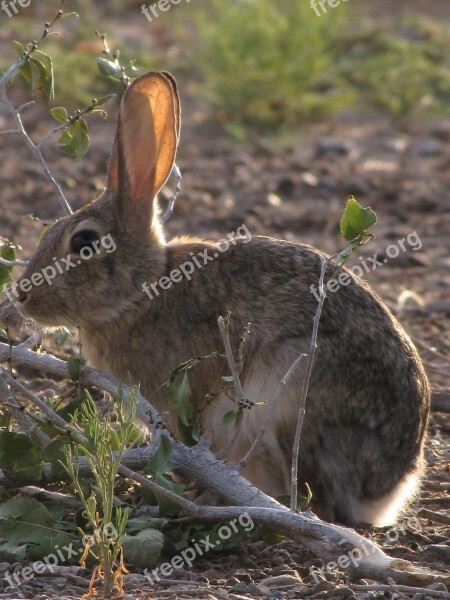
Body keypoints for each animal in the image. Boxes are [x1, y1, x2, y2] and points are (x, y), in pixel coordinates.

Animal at [9, 72, 428, 524]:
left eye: (84, 242)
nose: (21, 295)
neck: (143, 291)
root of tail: (388, 487)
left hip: (290, 397)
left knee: (315, 500)